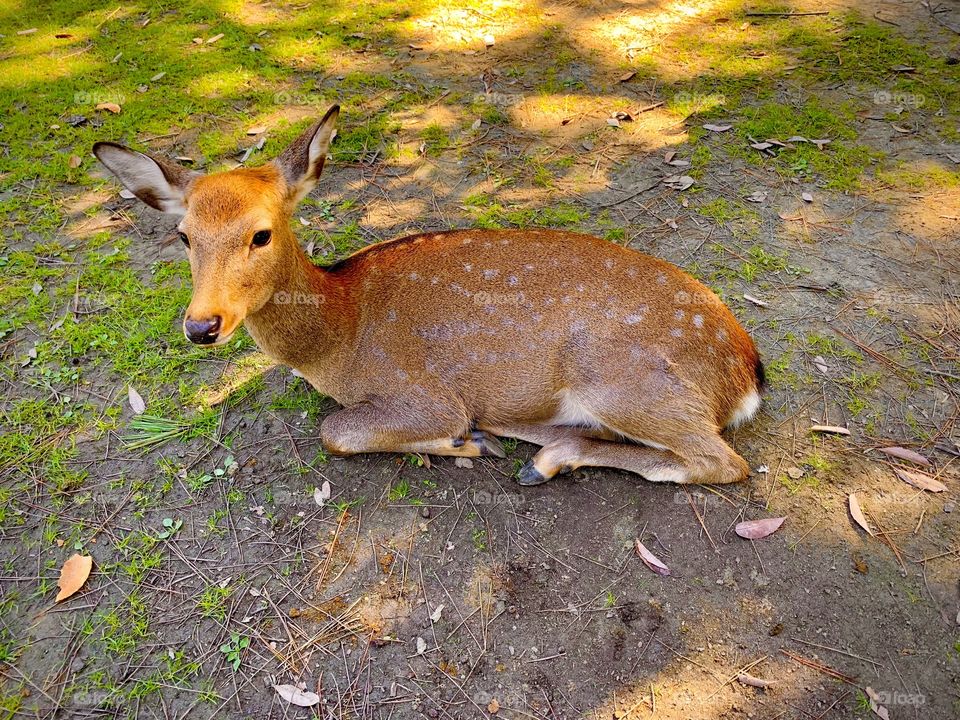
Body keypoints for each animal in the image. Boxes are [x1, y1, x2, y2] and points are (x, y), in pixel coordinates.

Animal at [93, 105, 764, 487]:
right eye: (184, 235)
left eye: (262, 232)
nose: (201, 325)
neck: (339, 333)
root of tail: (748, 373)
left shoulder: (424, 392)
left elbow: (335, 430)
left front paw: (463, 442)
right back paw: (542, 452)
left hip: (623, 377)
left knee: (722, 462)